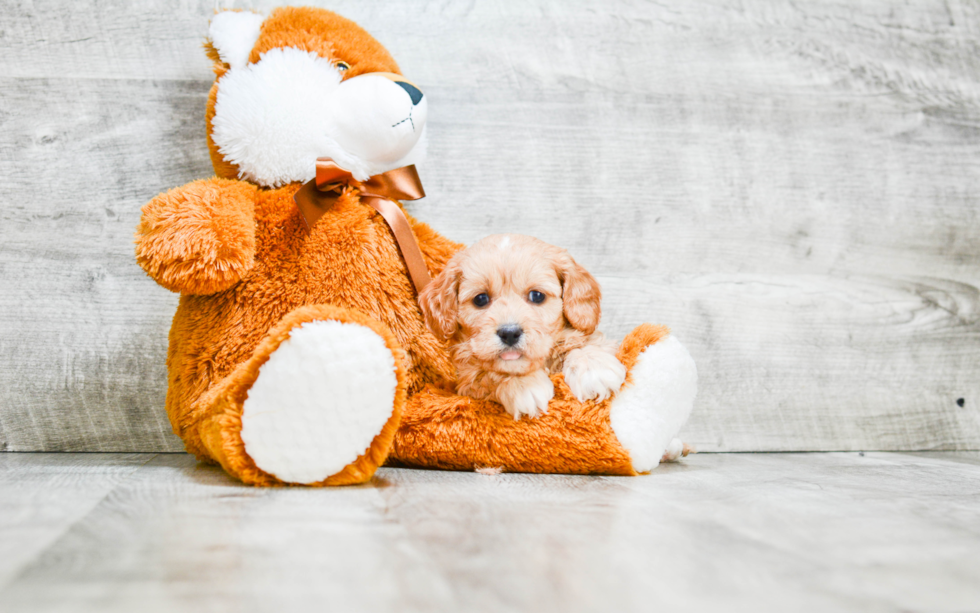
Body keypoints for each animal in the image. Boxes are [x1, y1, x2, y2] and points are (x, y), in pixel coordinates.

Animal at [418, 232, 624, 418]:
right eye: (481, 299)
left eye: (537, 296)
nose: (509, 333)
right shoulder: (467, 381)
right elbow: (492, 372)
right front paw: (524, 386)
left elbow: (579, 341)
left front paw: (593, 367)